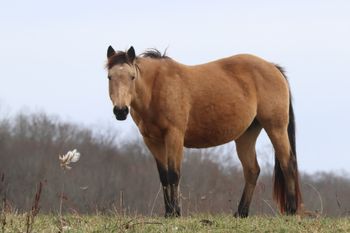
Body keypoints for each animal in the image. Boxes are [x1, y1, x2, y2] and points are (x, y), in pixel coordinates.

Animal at [105, 45, 302, 217]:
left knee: (287, 163)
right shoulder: (152, 141)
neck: (156, 87)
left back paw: (291, 210)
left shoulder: (174, 136)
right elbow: (163, 176)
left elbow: (173, 174)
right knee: (252, 170)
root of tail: (273, 67)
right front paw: (168, 212)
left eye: (132, 77)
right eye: (109, 77)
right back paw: (241, 213)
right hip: (246, 135)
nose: (120, 111)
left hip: (276, 127)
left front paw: (176, 213)